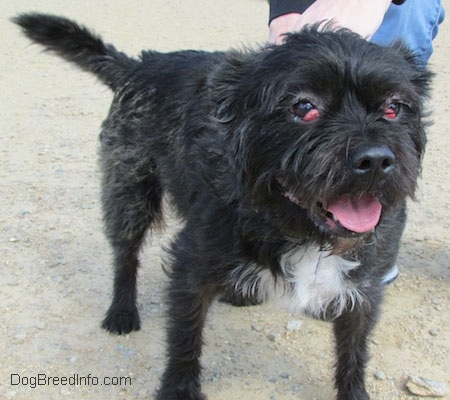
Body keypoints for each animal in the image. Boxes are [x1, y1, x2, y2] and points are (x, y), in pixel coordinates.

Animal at [12, 13, 430, 400]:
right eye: (304, 106)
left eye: (394, 108)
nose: (375, 160)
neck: (297, 229)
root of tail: (138, 66)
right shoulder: (189, 265)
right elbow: (185, 339)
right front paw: (179, 390)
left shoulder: (365, 285)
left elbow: (354, 351)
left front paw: (354, 391)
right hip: (129, 192)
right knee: (125, 254)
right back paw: (122, 310)